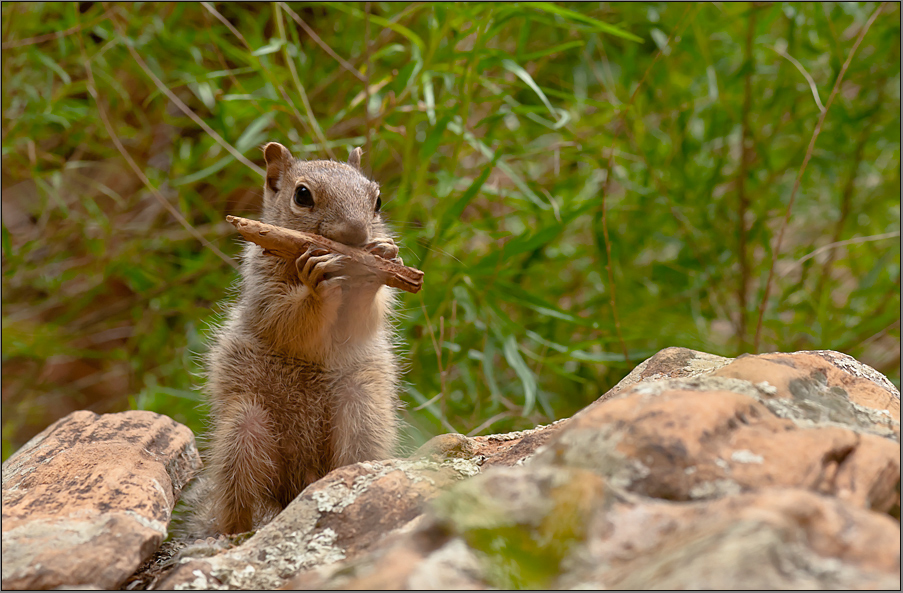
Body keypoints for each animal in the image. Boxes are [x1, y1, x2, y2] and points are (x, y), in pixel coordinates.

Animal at [180, 143, 400, 536]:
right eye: (302, 196)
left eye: (377, 200)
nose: (356, 235)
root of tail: (302, 480)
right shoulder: (264, 290)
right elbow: (288, 321)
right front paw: (317, 287)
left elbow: (361, 320)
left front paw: (371, 272)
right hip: (243, 432)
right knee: (240, 499)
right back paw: (240, 529)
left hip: (363, 410)